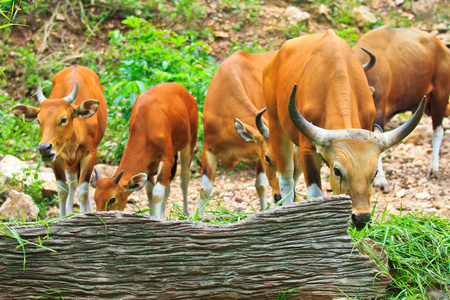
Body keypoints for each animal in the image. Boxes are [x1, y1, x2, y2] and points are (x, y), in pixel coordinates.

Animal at [12, 65, 107, 216]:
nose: (43, 148)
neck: (72, 144)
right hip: (68, 162)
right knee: (72, 183)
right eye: (39, 120)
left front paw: (85, 214)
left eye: (63, 119)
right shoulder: (56, 158)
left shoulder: (90, 153)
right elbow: (62, 190)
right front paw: (63, 217)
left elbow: (83, 190)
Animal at [90, 82, 198, 218]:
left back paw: (185, 212)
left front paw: (158, 218)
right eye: (95, 198)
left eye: (112, 199)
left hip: (190, 142)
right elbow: (150, 192)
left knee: (184, 178)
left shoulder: (167, 159)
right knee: (168, 186)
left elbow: (157, 193)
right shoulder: (147, 165)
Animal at [200, 49, 298, 216]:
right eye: (267, 158)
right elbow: (205, 189)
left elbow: (261, 186)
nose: (279, 197)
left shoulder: (257, 149)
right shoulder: (208, 148)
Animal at [262, 29, 424, 227]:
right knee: (285, 178)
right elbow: (315, 194)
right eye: (338, 171)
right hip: (276, 123)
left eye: (375, 172)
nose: (361, 219)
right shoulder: (308, 148)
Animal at [354, 26, 450, 190]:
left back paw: (434, 168)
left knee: (438, 131)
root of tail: (443, 47)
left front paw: (380, 179)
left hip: (440, 96)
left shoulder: (379, 113)